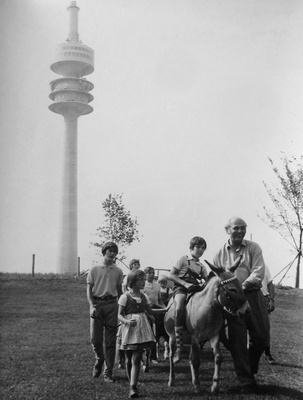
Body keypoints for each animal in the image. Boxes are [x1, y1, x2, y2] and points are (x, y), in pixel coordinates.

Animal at [165, 256, 251, 394]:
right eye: (232, 289)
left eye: (242, 288)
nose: (247, 310)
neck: (207, 309)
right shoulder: (195, 338)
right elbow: (196, 361)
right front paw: (198, 386)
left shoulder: (214, 336)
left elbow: (218, 358)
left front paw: (214, 386)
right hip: (172, 338)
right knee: (172, 357)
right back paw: (172, 379)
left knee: (190, 357)